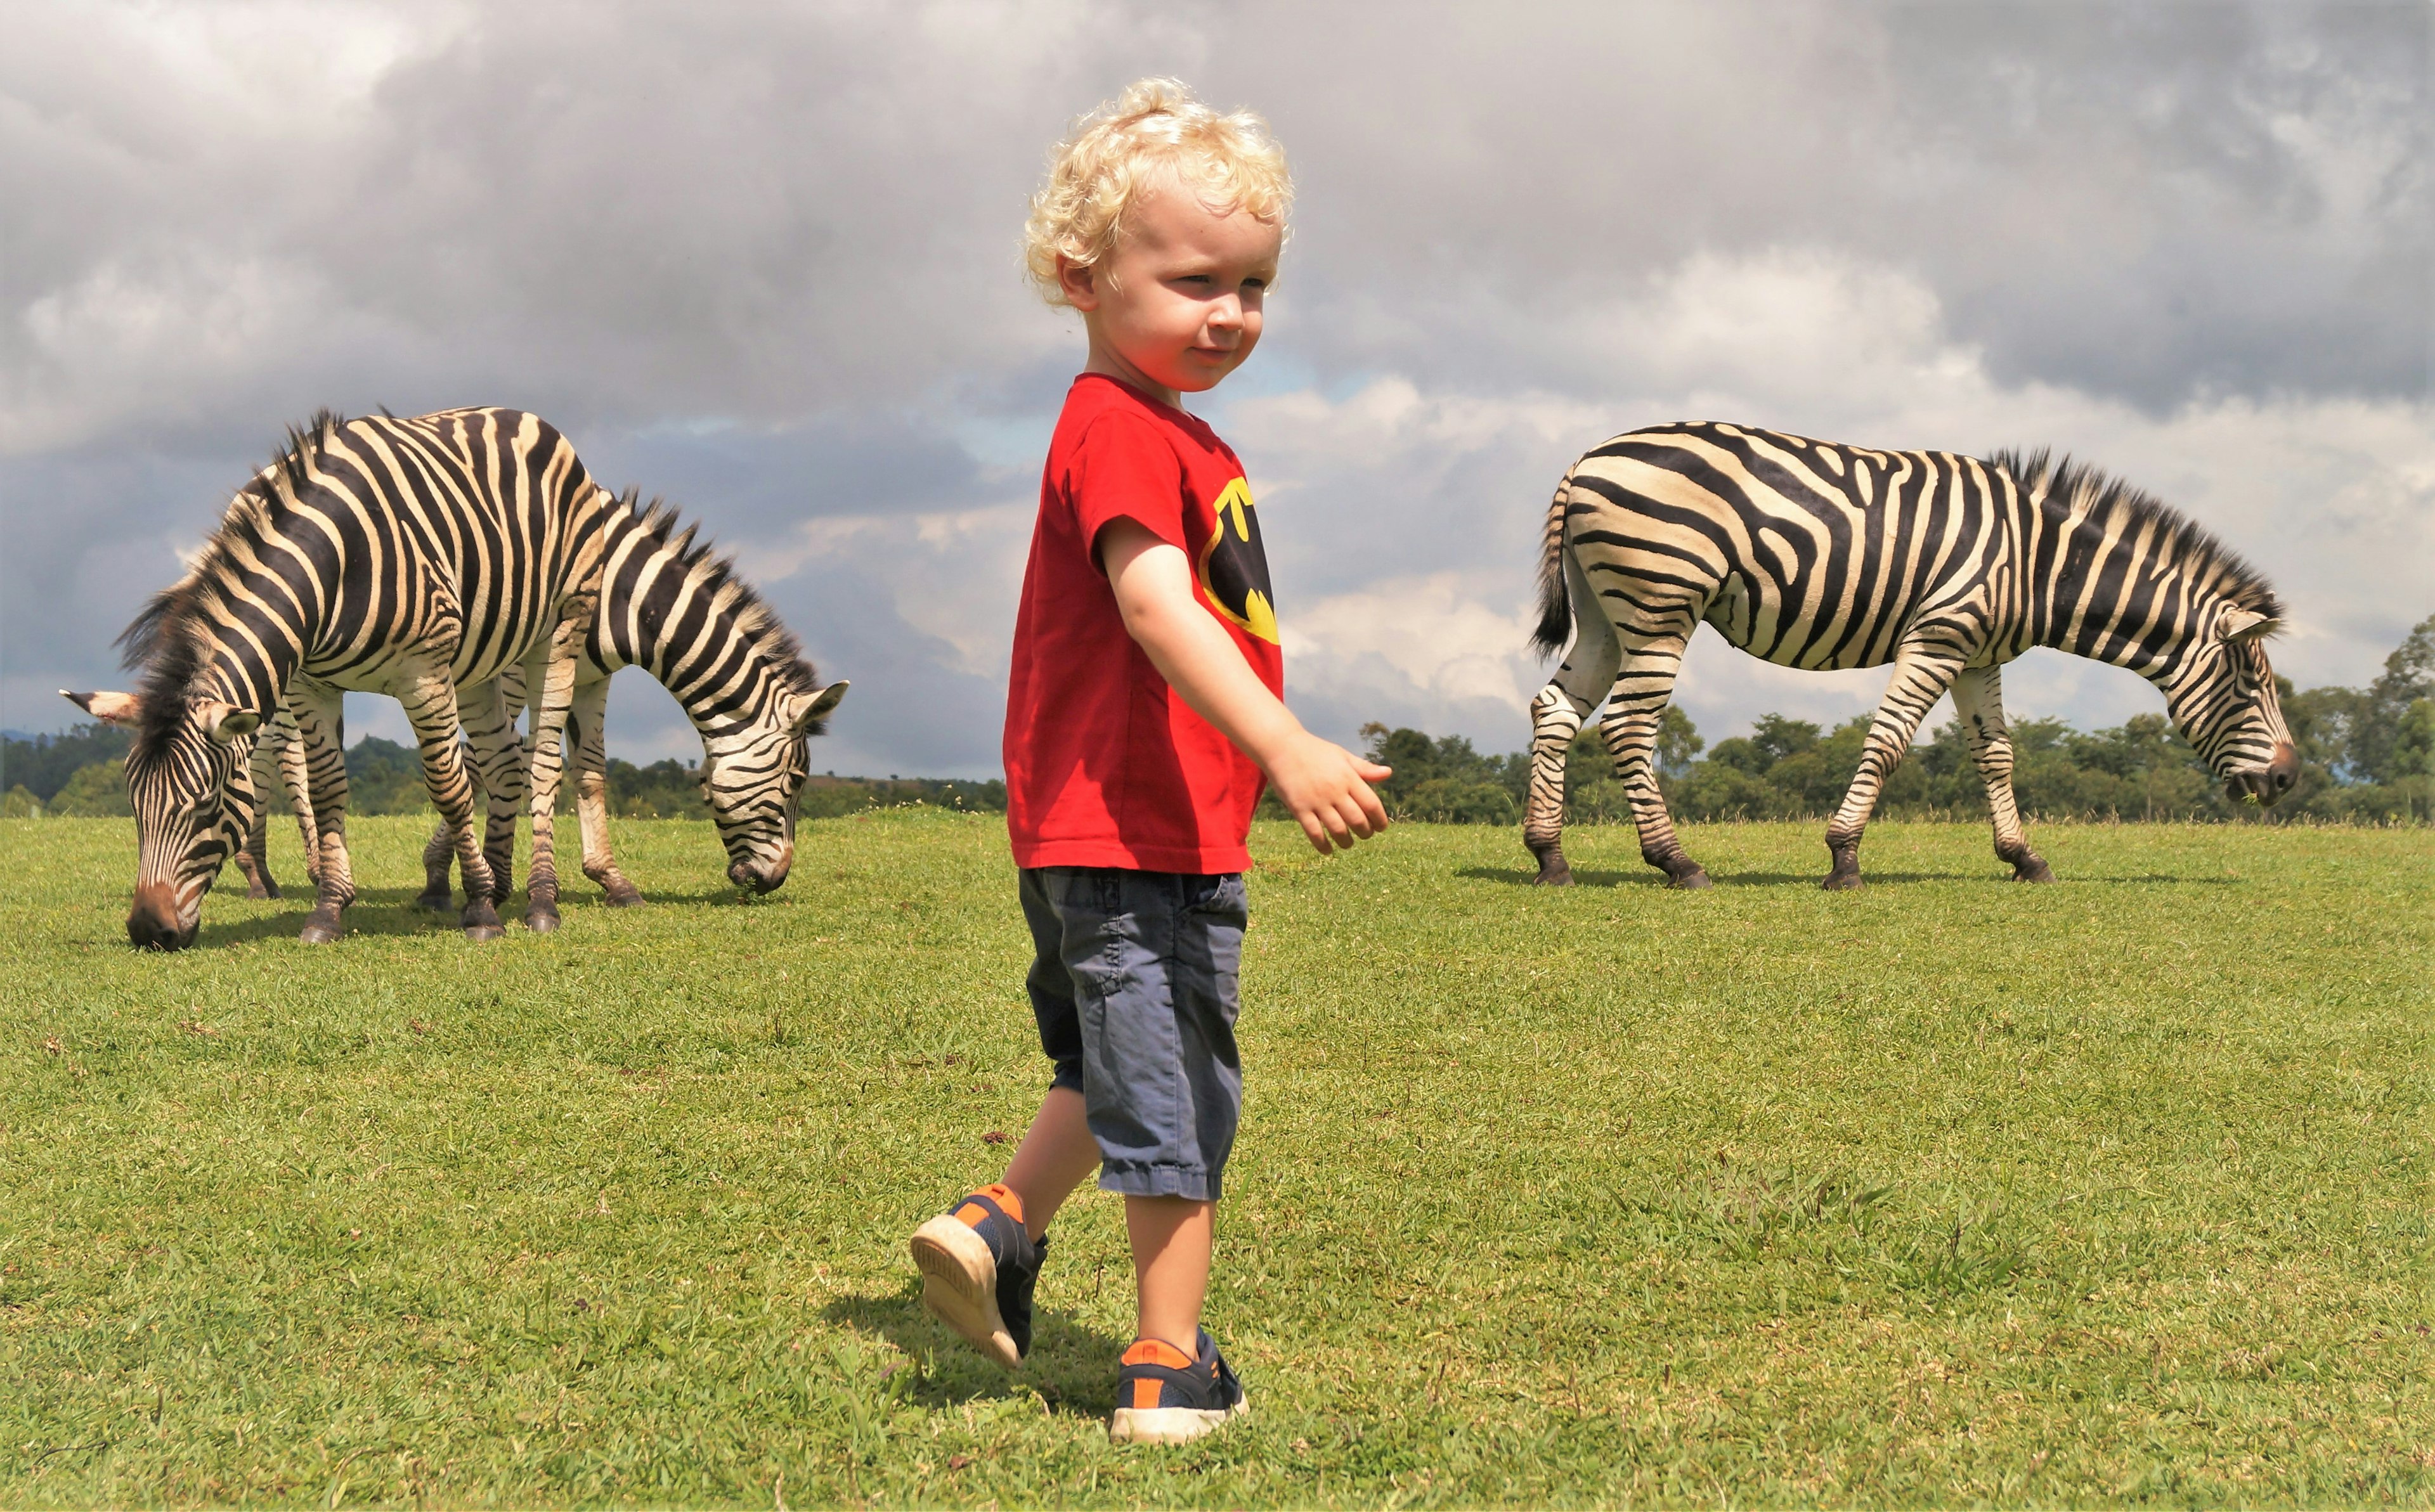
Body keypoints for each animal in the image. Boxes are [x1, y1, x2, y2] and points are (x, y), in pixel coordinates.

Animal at [87, 406, 618, 949]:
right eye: (135, 805)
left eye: (207, 804)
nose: (148, 930)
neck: (335, 564)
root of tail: (525, 416)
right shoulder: (310, 683)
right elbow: (326, 789)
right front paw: (329, 909)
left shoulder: (424, 674)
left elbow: (448, 786)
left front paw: (480, 910)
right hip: (478, 662)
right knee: (503, 761)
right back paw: (502, 884)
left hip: (560, 631)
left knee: (543, 765)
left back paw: (541, 901)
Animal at [1519, 418, 2298, 891]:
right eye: (2249, 687)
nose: (2290, 779)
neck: (2038, 565)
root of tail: (1585, 461)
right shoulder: (1939, 635)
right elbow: (1889, 741)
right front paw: (1844, 858)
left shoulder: (1979, 655)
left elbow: (1996, 754)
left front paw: (2023, 856)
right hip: (1662, 605)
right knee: (1628, 727)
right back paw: (1676, 862)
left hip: (1605, 613)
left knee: (1554, 710)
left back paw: (1550, 856)